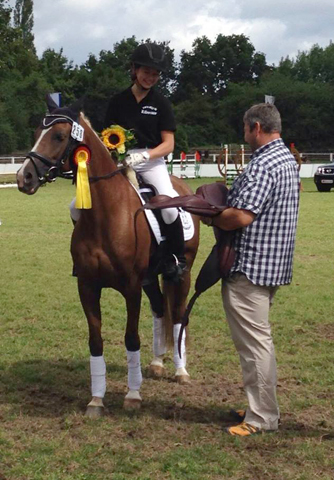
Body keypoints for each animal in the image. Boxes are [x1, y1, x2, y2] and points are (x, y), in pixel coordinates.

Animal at [16, 96, 198, 416]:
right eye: (38, 131)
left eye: (59, 136)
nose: (23, 177)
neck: (106, 213)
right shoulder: (88, 286)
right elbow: (95, 342)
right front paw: (96, 399)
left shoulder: (131, 288)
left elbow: (131, 338)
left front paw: (133, 395)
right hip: (151, 279)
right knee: (160, 310)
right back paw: (156, 363)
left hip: (181, 274)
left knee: (178, 315)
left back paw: (180, 371)